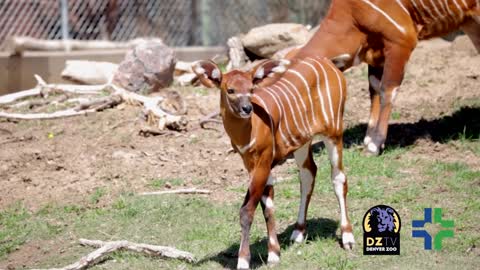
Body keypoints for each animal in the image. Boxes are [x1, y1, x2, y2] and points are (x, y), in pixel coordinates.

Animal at [193, 58, 354, 268]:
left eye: (251, 88)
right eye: (230, 90)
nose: (247, 108)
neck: (249, 131)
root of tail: (328, 63)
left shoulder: (263, 161)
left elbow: (247, 210)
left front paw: (243, 261)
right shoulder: (254, 164)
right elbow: (268, 207)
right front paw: (274, 254)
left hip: (334, 132)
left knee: (338, 177)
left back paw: (347, 237)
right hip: (302, 141)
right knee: (308, 173)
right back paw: (298, 232)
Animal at [296, 0, 480, 155]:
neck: (353, 15)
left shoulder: (401, 41)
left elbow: (388, 90)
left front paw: (374, 145)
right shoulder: (377, 53)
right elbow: (374, 90)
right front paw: (369, 138)